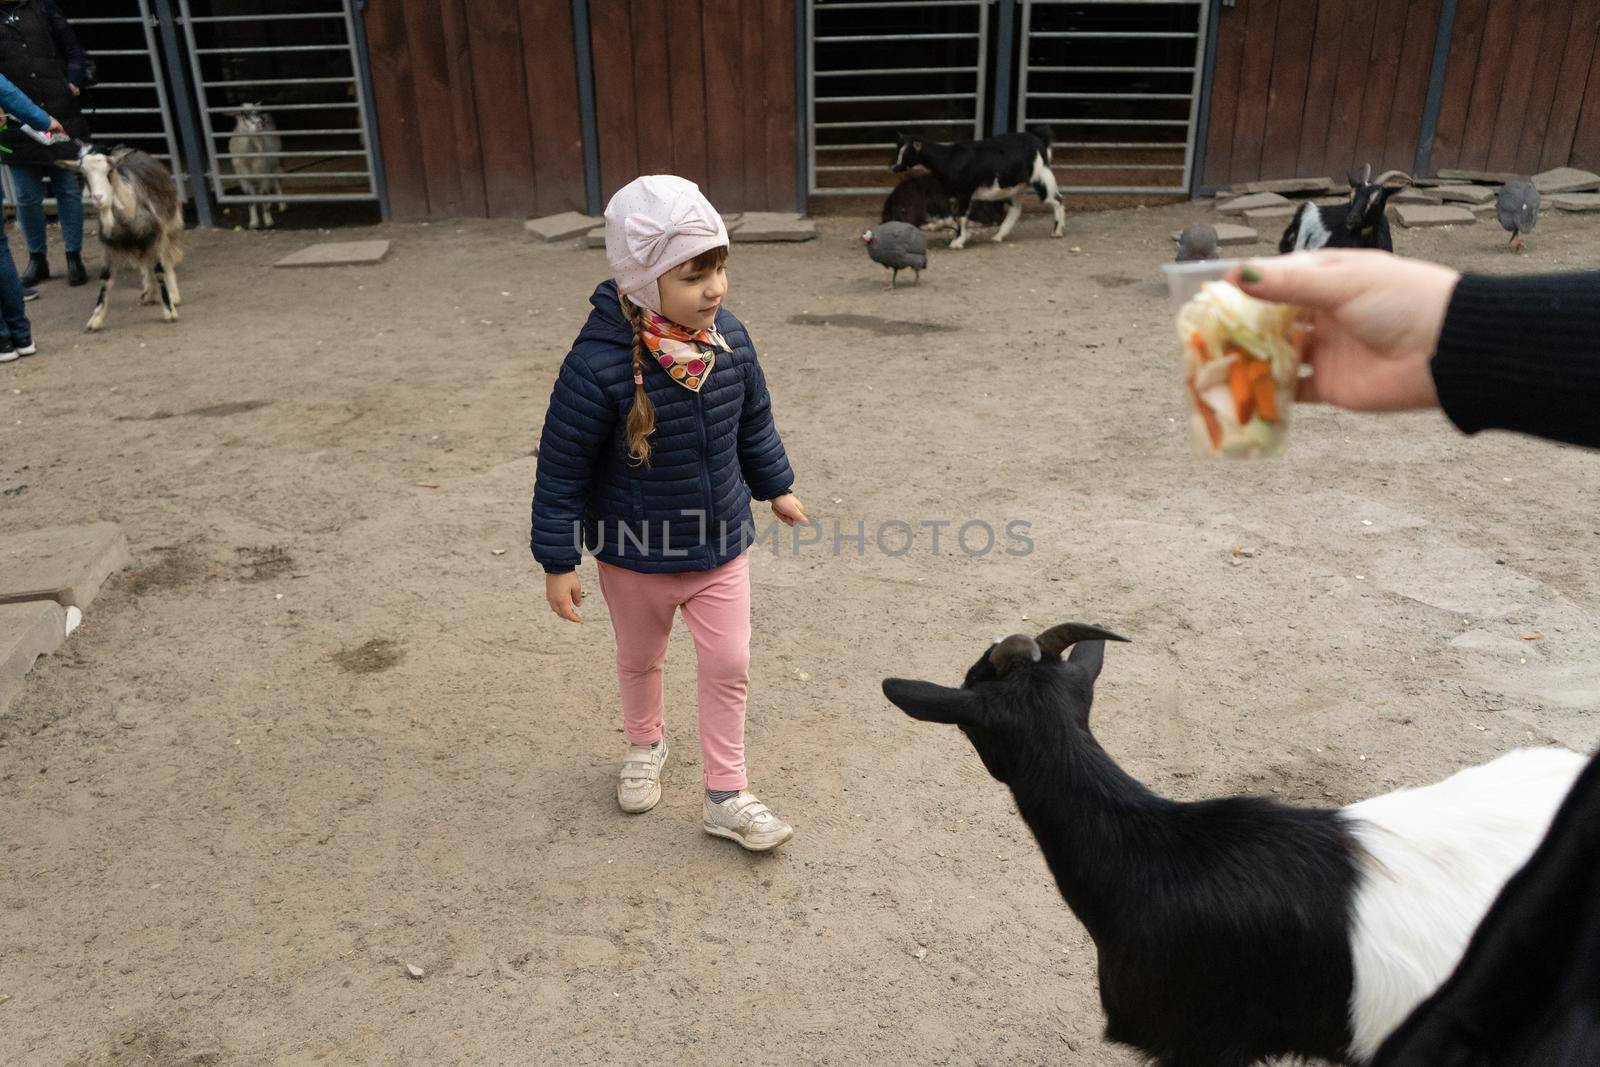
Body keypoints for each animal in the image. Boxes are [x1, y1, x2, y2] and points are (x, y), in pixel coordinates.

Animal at [65, 143, 184, 331]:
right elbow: (106, 280)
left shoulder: (155, 235)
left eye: (109, 171)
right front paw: (95, 319)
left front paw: (169, 311)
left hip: (169, 228)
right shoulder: (110, 246)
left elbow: (159, 270)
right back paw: (149, 293)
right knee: (146, 265)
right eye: (84, 174)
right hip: (139, 245)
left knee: (166, 260)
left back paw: (173, 295)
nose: (98, 198)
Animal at [889, 127, 1062, 247]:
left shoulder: (965, 192)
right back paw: (998, 236)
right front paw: (961, 236)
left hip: (1041, 175)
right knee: (1017, 208)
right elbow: (956, 217)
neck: (948, 158)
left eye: (907, 153)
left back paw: (1057, 232)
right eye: (897, 149)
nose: (893, 167)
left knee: (1056, 199)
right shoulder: (956, 195)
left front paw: (957, 242)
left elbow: (960, 217)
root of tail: (1038, 138)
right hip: (1009, 188)